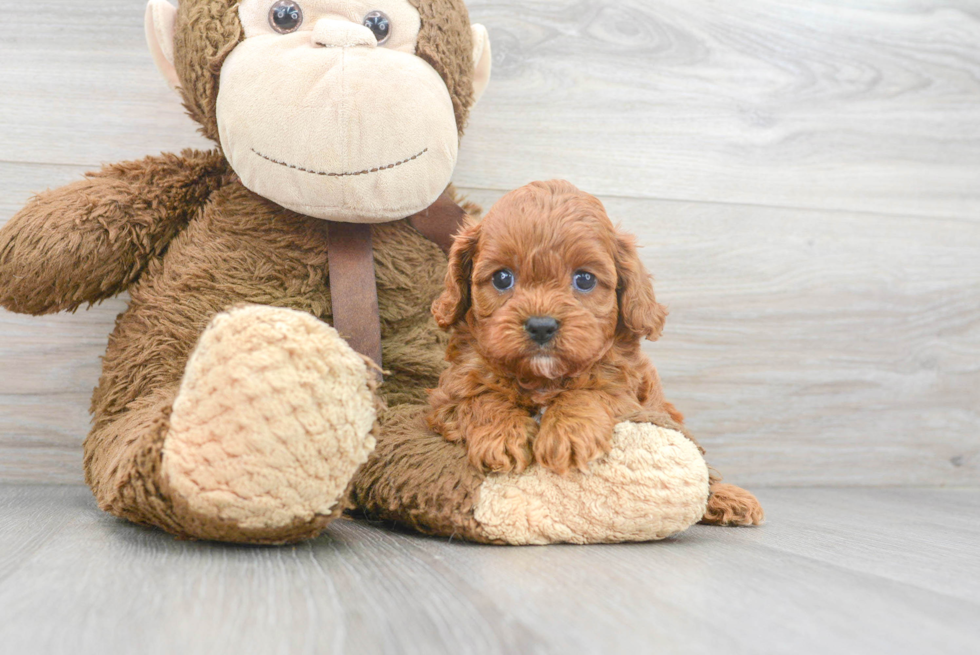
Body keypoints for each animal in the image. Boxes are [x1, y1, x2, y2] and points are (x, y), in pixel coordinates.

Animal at [428, 179, 688, 476]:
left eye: (585, 279)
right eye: (502, 278)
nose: (541, 326)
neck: (542, 379)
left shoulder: (630, 398)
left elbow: (591, 392)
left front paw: (569, 432)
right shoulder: (449, 394)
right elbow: (480, 398)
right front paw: (502, 434)